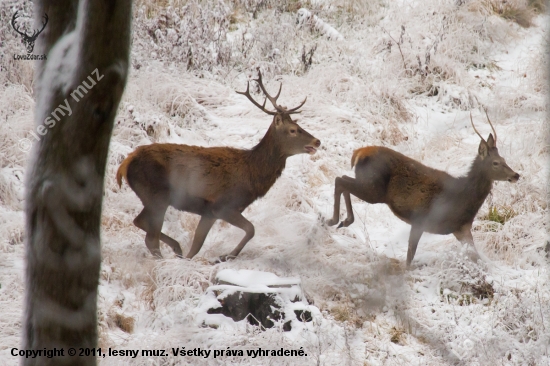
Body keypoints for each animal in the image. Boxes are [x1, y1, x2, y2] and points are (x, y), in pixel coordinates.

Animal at [328, 110, 520, 268]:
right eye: (495, 163)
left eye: (504, 159)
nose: (516, 175)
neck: (462, 199)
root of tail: (358, 152)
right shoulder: (421, 219)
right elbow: (410, 254)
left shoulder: (461, 228)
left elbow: (476, 256)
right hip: (373, 189)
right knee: (340, 180)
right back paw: (334, 220)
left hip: (368, 185)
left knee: (343, 178)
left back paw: (343, 220)